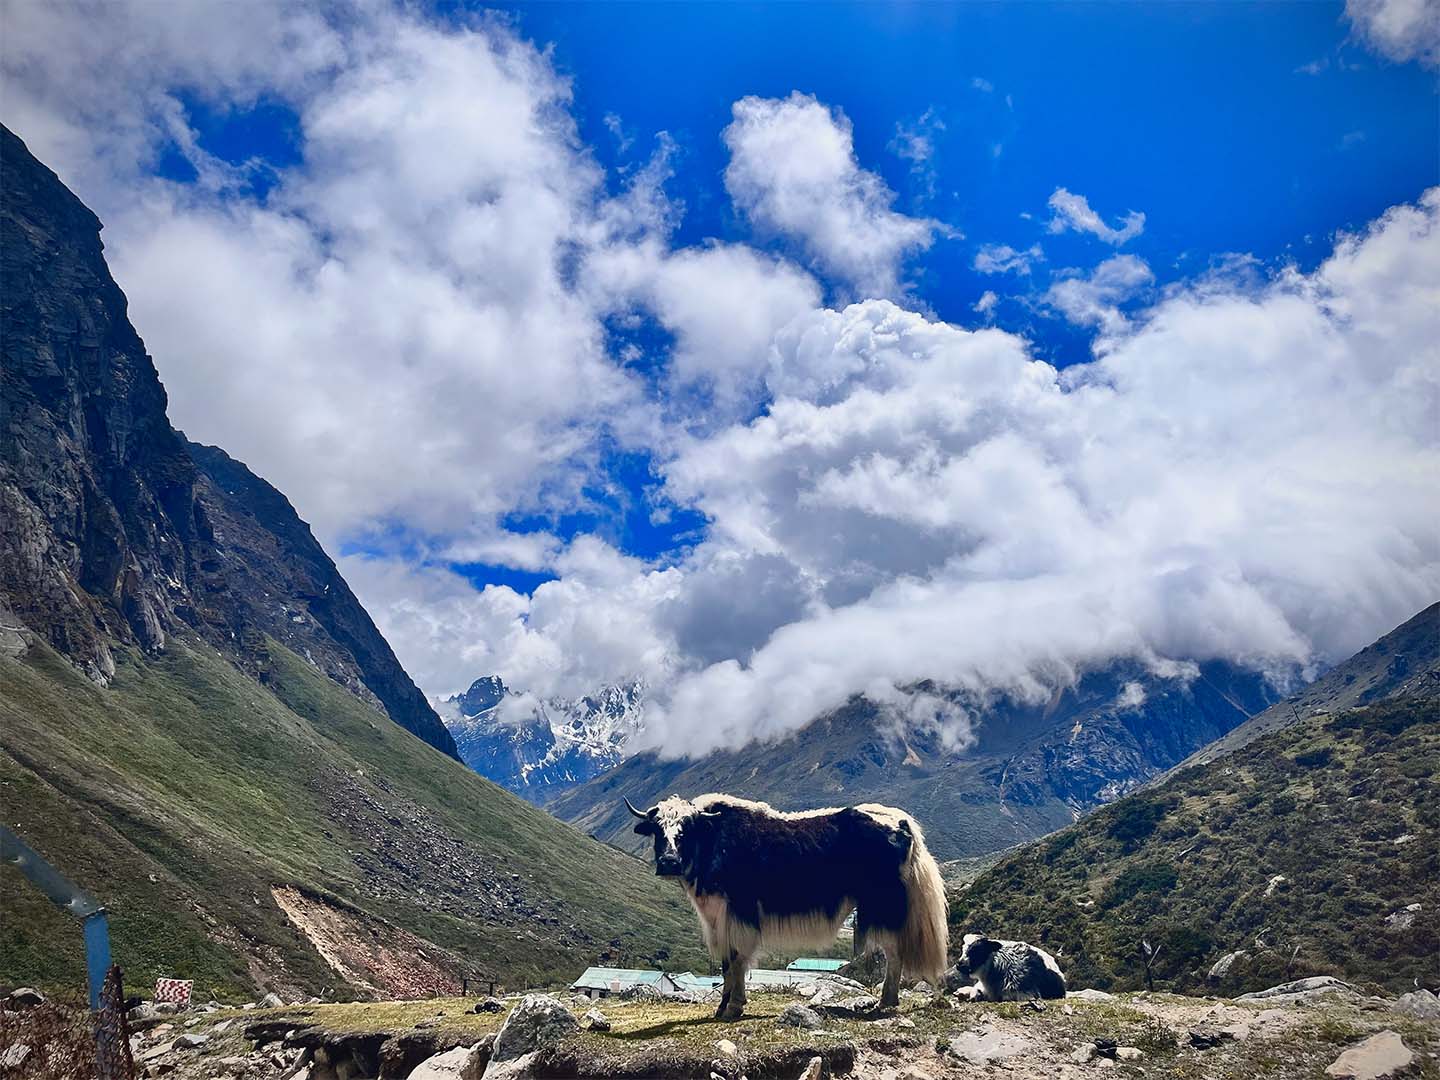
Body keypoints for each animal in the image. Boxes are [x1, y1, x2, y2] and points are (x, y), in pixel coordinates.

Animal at [624, 789, 950, 1019]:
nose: (669, 862)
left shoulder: (738, 913)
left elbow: (736, 959)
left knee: (893, 950)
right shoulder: (718, 918)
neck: (714, 840)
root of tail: (901, 821)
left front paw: (733, 1007)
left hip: (882, 904)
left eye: (686, 829)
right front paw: (723, 1006)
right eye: (657, 830)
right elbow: (726, 962)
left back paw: (885, 1002)